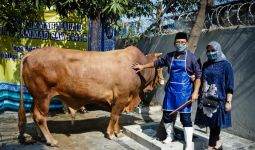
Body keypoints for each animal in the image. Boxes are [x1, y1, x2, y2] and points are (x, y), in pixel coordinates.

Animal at [17, 46, 163, 146]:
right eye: (160, 66)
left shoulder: (121, 100)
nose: (162, 80)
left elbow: (118, 117)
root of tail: (31, 53)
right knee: (40, 117)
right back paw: (52, 140)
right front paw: (111, 134)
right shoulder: (121, 97)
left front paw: (119, 132)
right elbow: (115, 116)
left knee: (33, 114)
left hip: (36, 97)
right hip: (43, 96)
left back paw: (41, 137)